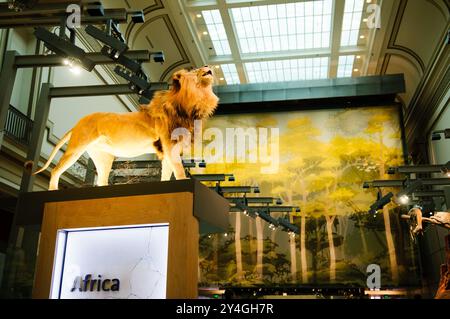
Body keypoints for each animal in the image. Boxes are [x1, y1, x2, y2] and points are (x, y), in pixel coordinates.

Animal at [31, 65, 218, 190]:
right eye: (194, 70)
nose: (208, 66)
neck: (191, 104)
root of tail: (78, 122)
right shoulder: (169, 147)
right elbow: (179, 172)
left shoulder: (167, 152)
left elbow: (166, 175)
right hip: (76, 148)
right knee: (56, 170)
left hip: (103, 156)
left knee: (101, 180)